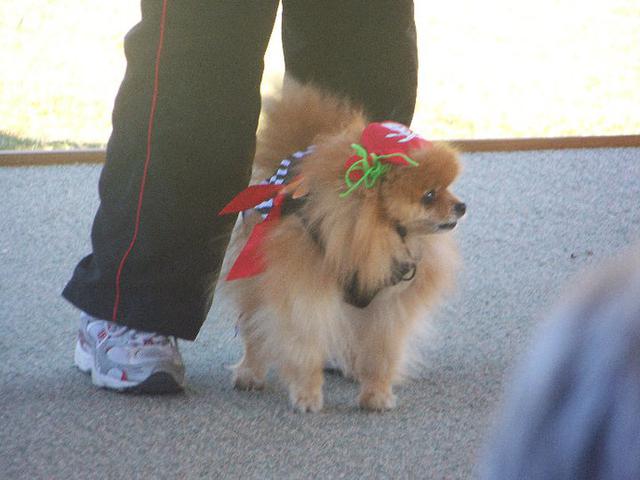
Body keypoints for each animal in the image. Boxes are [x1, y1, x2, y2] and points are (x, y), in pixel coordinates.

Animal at [220, 80, 465, 412]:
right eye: (429, 195)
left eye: (449, 189)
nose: (461, 207)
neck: (374, 235)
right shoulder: (305, 295)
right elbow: (305, 348)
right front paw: (307, 395)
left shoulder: (388, 307)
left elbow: (381, 353)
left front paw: (376, 395)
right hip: (256, 281)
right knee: (254, 330)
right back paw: (250, 373)